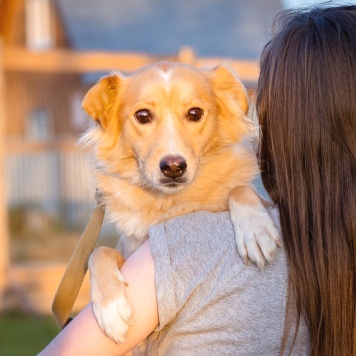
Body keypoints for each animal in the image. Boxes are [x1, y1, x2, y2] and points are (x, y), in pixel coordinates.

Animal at [81, 62, 280, 344]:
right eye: (143, 115)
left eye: (195, 113)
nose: (173, 167)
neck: (172, 204)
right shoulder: (131, 247)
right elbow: (99, 252)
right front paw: (110, 307)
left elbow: (239, 189)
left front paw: (255, 229)